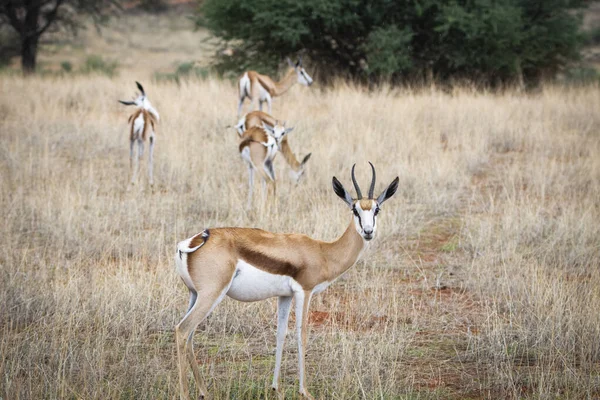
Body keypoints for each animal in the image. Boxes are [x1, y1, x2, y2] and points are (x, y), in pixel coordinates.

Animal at [173, 163, 398, 400]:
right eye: (355, 209)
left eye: (376, 209)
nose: (368, 231)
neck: (323, 252)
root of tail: (193, 241)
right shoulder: (304, 292)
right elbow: (302, 334)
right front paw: (305, 391)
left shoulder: (284, 296)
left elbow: (280, 334)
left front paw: (276, 388)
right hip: (211, 295)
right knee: (182, 330)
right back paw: (186, 394)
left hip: (194, 295)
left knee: (189, 335)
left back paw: (204, 391)